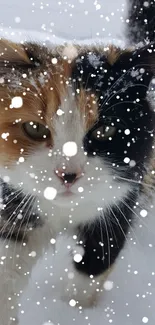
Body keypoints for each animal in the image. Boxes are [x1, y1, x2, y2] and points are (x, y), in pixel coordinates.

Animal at [0, 2, 154, 324]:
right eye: (34, 128)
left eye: (105, 131)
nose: (67, 174)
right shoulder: (16, 204)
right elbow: (7, 267)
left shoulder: (116, 208)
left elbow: (92, 269)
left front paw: (75, 314)